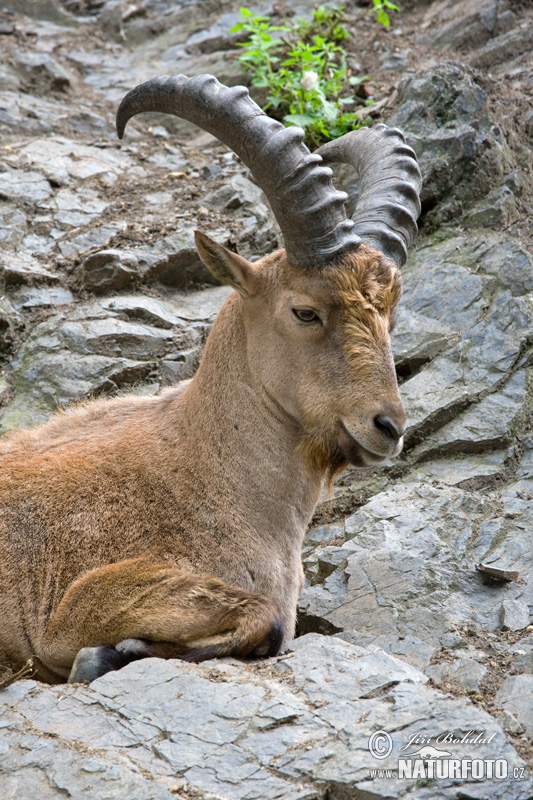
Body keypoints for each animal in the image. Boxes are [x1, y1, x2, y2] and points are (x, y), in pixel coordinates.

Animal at [0, 75, 420, 684]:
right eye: (305, 311)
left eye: (390, 310)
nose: (388, 426)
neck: (211, 472)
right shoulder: (68, 610)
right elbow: (266, 619)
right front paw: (108, 653)